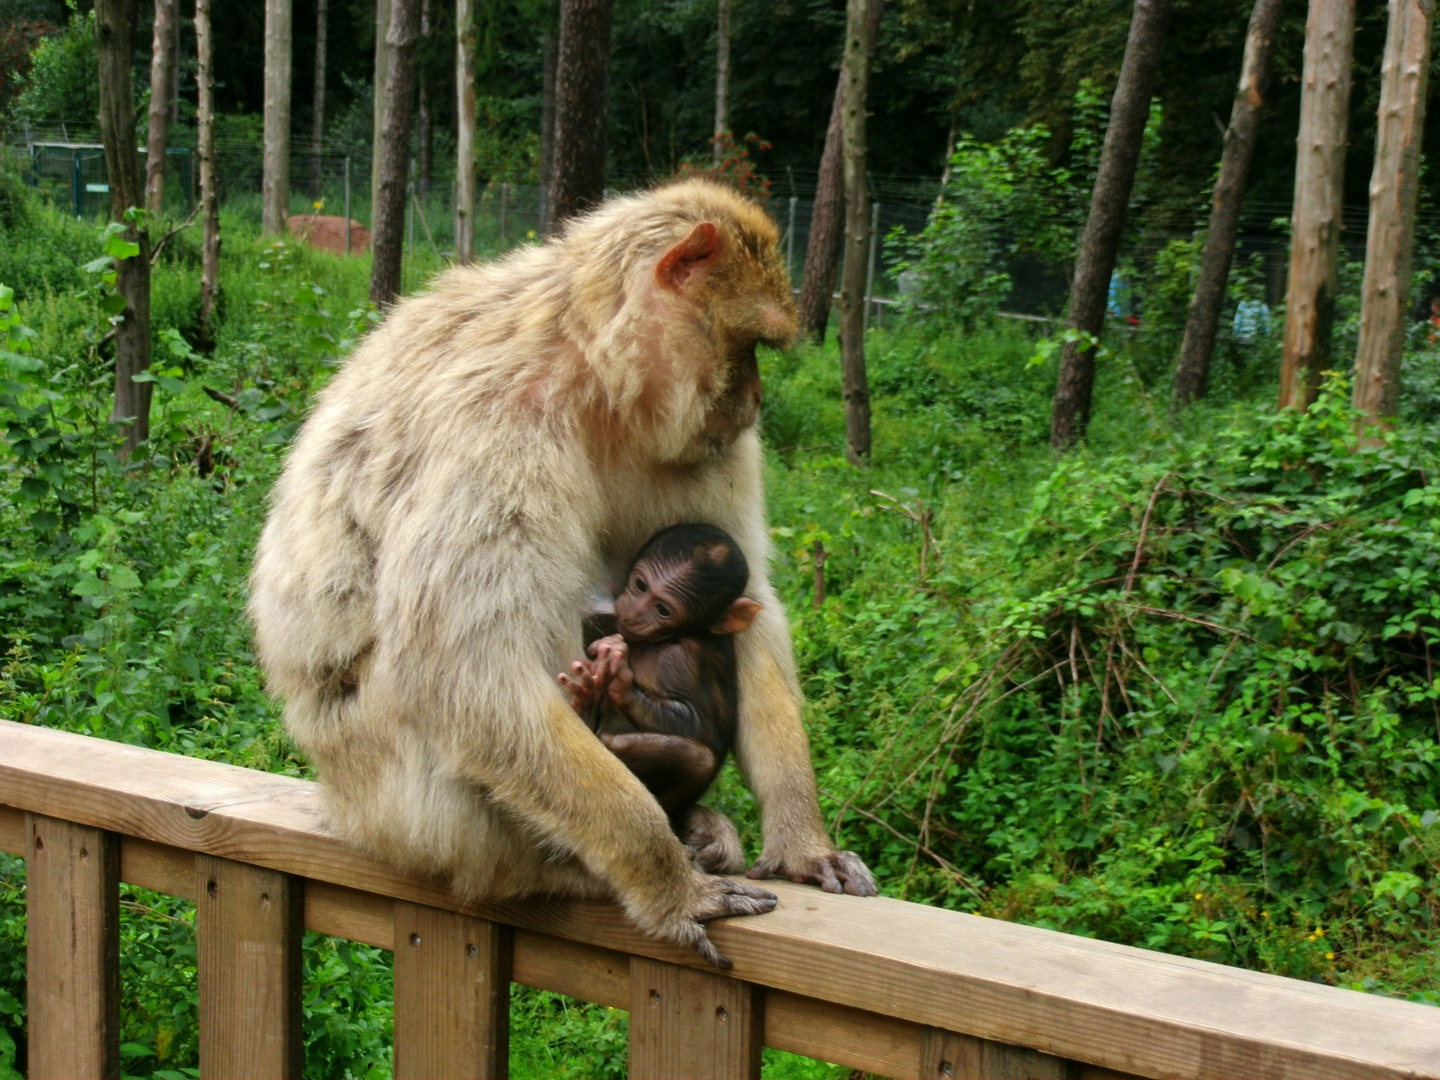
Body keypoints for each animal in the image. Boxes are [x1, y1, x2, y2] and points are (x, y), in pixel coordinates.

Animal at [558, 524, 766, 869]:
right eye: (641, 585)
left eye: (663, 609)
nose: (634, 613)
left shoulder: (678, 660)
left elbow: (696, 722)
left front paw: (621, 678)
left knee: (696, 758)